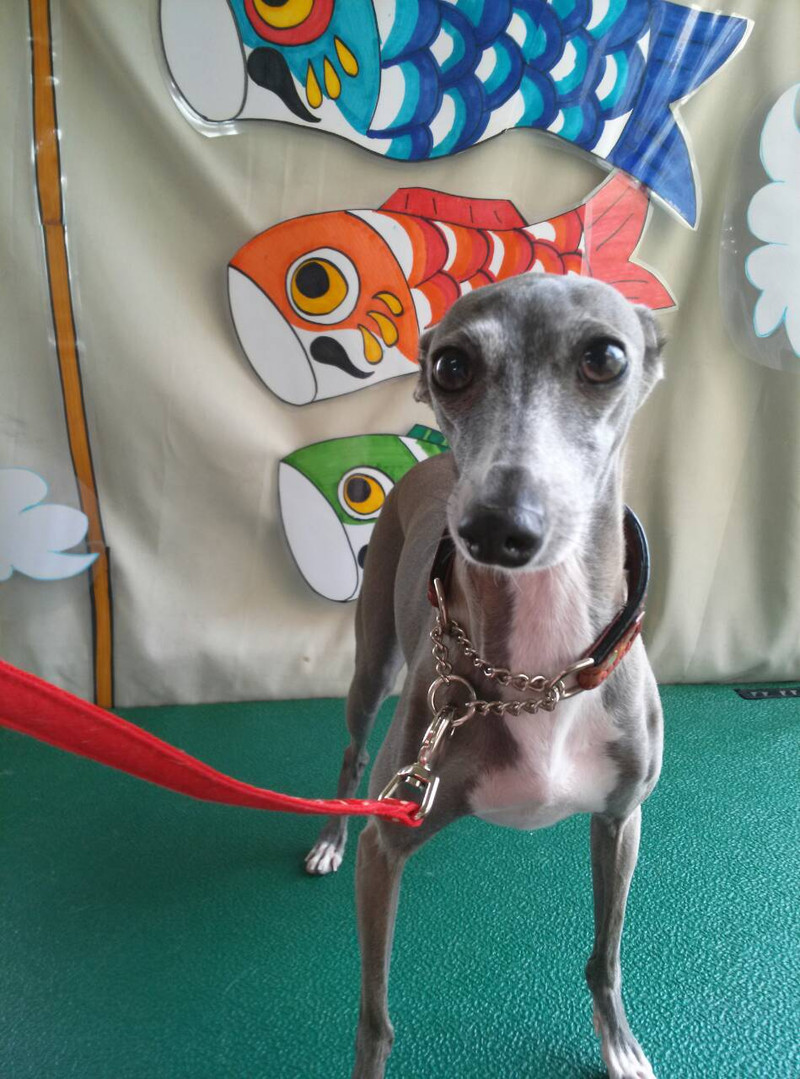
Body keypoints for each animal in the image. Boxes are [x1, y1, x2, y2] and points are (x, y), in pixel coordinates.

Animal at [305, 274, 666, 1079]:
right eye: (451, 365)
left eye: (606, 356)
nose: (499, 526)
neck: (541, 675)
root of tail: (426, 461)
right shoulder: (386, 846)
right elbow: (374, 1019)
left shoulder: (621, 817)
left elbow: (607, 955)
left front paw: (620, 1043)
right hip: (373, 662)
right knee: (349, 747)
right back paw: (328, 837)